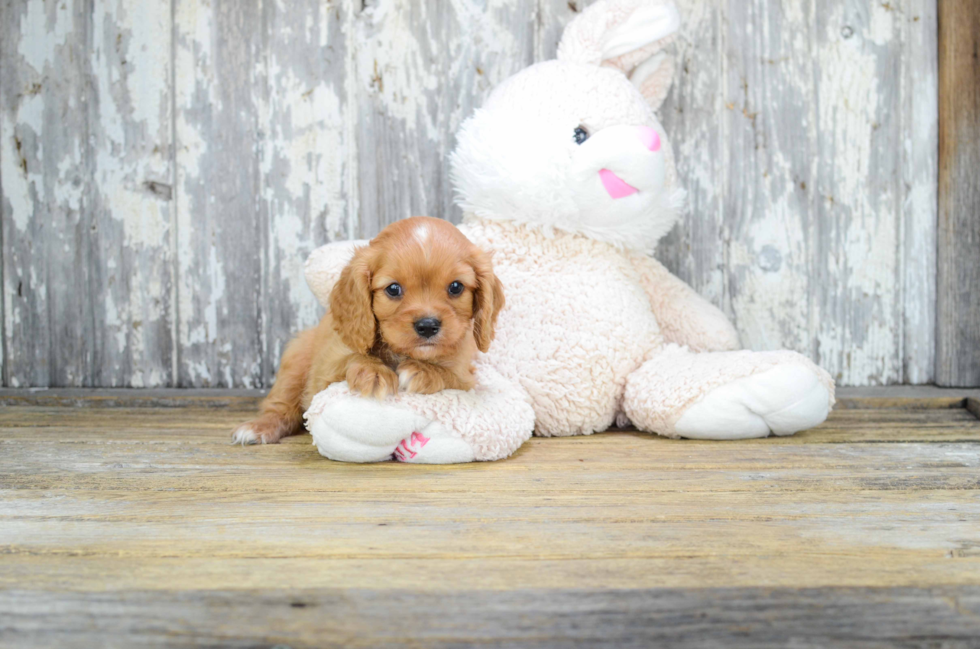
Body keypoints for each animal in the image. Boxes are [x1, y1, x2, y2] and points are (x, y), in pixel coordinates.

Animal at [233, 218, 502, 446]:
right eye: (393, 289)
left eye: (456, 287)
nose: (427, 325)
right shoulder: (322, 377)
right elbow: (353, 358)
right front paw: (373, 371)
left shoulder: (465, 376)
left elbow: (449, 375)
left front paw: (424, 371)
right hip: (296, 360)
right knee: (280, 406)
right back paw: (258, 428)